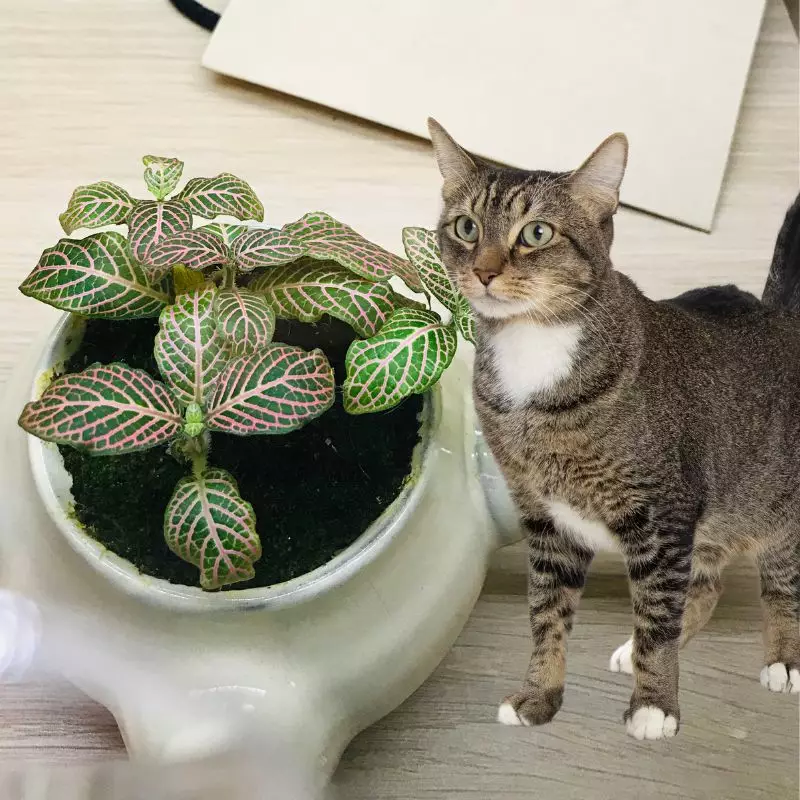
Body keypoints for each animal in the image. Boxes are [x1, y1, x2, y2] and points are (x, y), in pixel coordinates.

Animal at [428, 117, 800, 736]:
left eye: (536, 233)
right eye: (465, 226)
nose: (483, 271)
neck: (535, 356)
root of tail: (781, 318)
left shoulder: (662, 514)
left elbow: (656, 614)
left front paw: (654, 705)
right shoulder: (548, 520)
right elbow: (547, 616)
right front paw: (539, 695)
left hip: (776, 510)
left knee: (780, 580)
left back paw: (783, 660)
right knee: (708, 584)